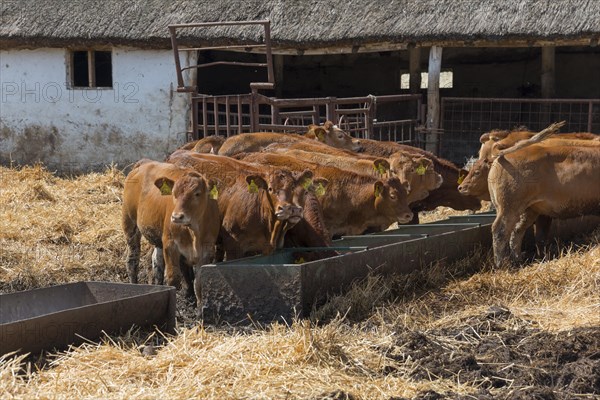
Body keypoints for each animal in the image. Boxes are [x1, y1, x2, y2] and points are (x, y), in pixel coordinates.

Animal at [123, 159, 221, 304]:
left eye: (197, 193)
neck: (194, 232)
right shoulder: (170, 245)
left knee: (156, 262)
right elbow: (173, 278)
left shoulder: (207, 249)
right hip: (129, 223)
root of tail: (145, 163)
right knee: (132, 260)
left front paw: (200, 308)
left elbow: (199, 284)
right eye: (174, 193)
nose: (176, 217)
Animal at [490, 137, 600, 266]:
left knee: (517, 230)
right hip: (509, 206)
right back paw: (502, 264)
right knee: (500, 231)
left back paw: (519, 260)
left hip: (529, 209)